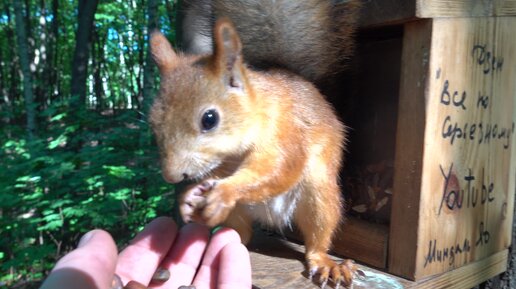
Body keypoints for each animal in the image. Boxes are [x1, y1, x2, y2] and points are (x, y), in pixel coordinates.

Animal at [148, 0, 358, 286]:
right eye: (153, 122)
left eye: (209, 119)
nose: (171, 176)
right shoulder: (221, 163)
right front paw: (188, 197)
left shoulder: (286, 132)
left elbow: (279, 170)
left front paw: (225, 191)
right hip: (238, 214)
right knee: (241, 236)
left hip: (320, 195)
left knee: (317, 237)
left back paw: (326, 263)